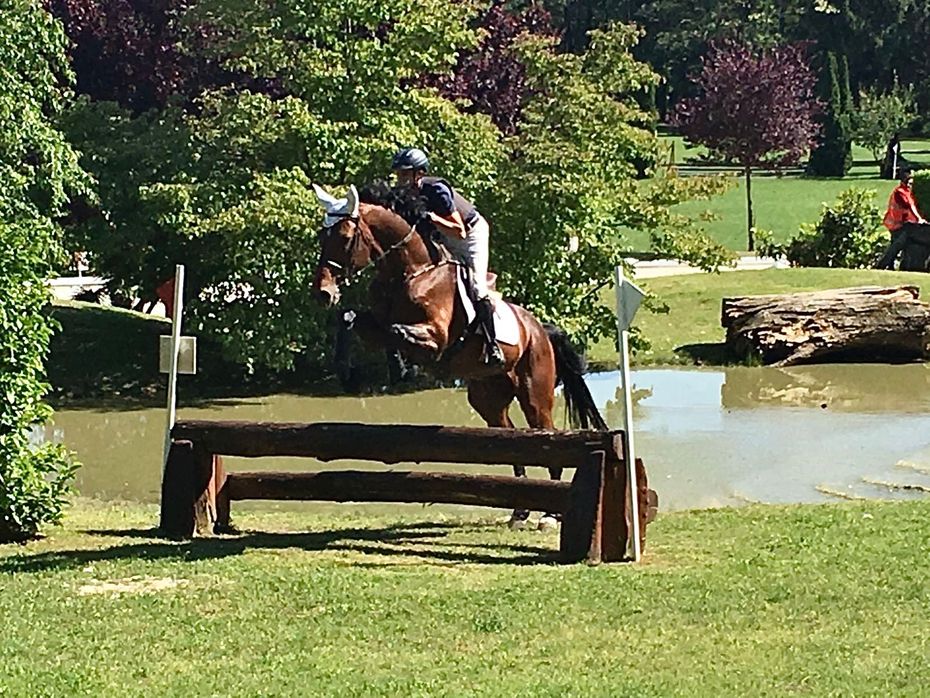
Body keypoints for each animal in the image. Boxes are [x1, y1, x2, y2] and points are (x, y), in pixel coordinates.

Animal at [311, 181, 608, 529]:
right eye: (322, 236)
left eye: (344, 237)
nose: (322, 292)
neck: (411, 270)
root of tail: (540, 330)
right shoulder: (373, 322)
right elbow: (349, 318)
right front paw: (350, 372)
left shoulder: (436, 338)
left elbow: (397, 331)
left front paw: (403, 370)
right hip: (487, 396)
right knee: (509, 438)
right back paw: (520, 512)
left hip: (535, 393)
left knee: (545, 437)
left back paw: (549, 515)